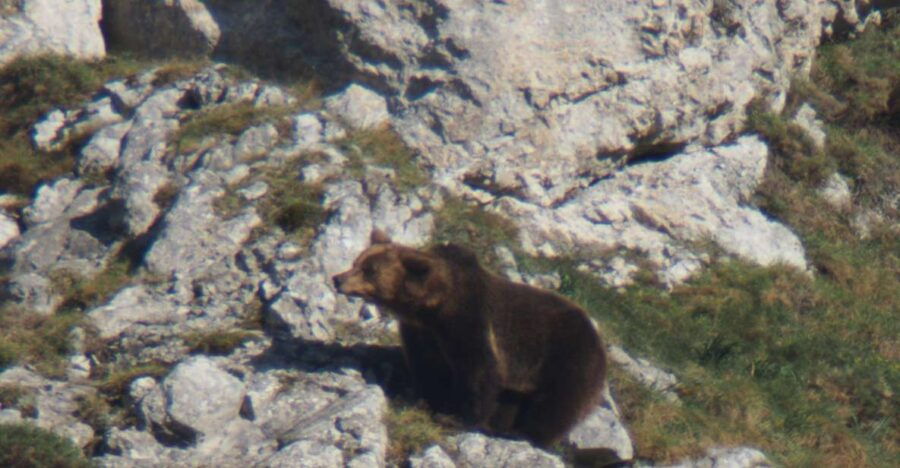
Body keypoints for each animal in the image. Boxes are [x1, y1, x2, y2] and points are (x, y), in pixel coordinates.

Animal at [332, 229, 606, 446]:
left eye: (370, 270)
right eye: (357, 261)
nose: (337, 279)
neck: (433, 306)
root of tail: (598, 339)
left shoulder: (468, 321)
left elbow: (477, 371)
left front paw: (458, 417)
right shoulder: (422, 333)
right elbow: (429, 368)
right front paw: (427, 401)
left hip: (566, 357)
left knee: (556, 403)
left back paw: (525, 434)